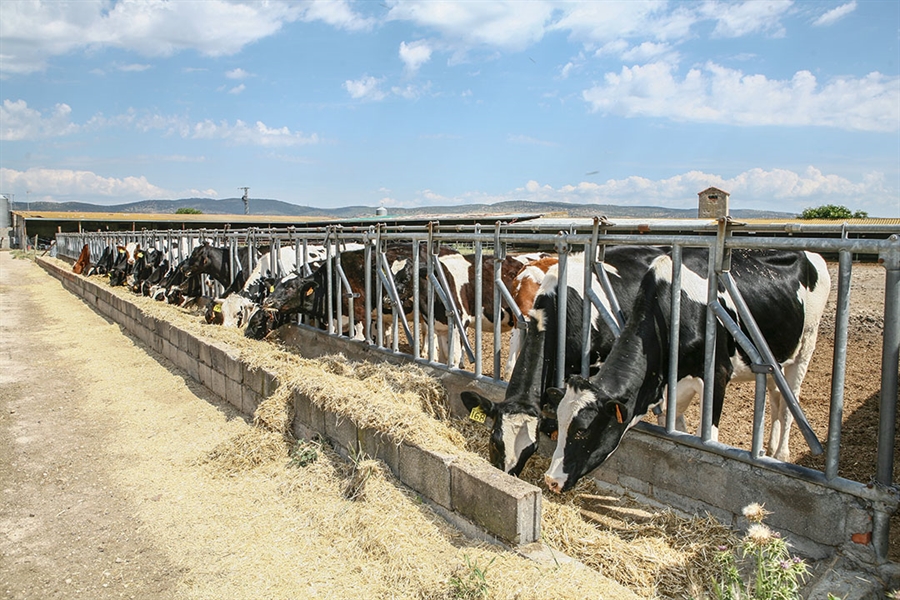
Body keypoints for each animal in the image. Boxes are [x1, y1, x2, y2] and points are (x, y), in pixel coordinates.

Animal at [540, 247, 828, 492]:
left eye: (582, 430)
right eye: (560, 422)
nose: (551, 480)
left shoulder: (717, 375)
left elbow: (707, 436)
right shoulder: (674, 386)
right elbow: (676, 427)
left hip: (806, 346)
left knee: (791, 401)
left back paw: (781, 455)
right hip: (777, 359)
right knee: (777, 397)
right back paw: (768, 449)